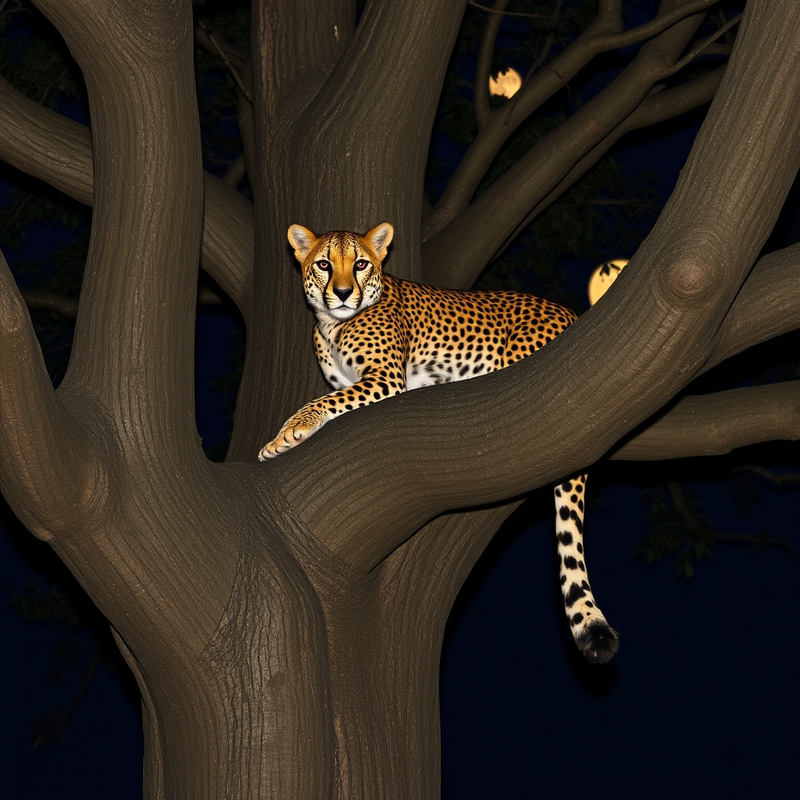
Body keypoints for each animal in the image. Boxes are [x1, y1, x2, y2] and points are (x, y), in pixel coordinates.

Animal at [259, 222, 619, 664]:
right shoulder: (354, 381)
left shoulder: (384, 380)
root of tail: (572, 314)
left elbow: (322, 401)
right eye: (324, 264)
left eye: (360, 264)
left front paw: (286, 435)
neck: (330, 323)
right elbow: (332, 400)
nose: (343, 293)